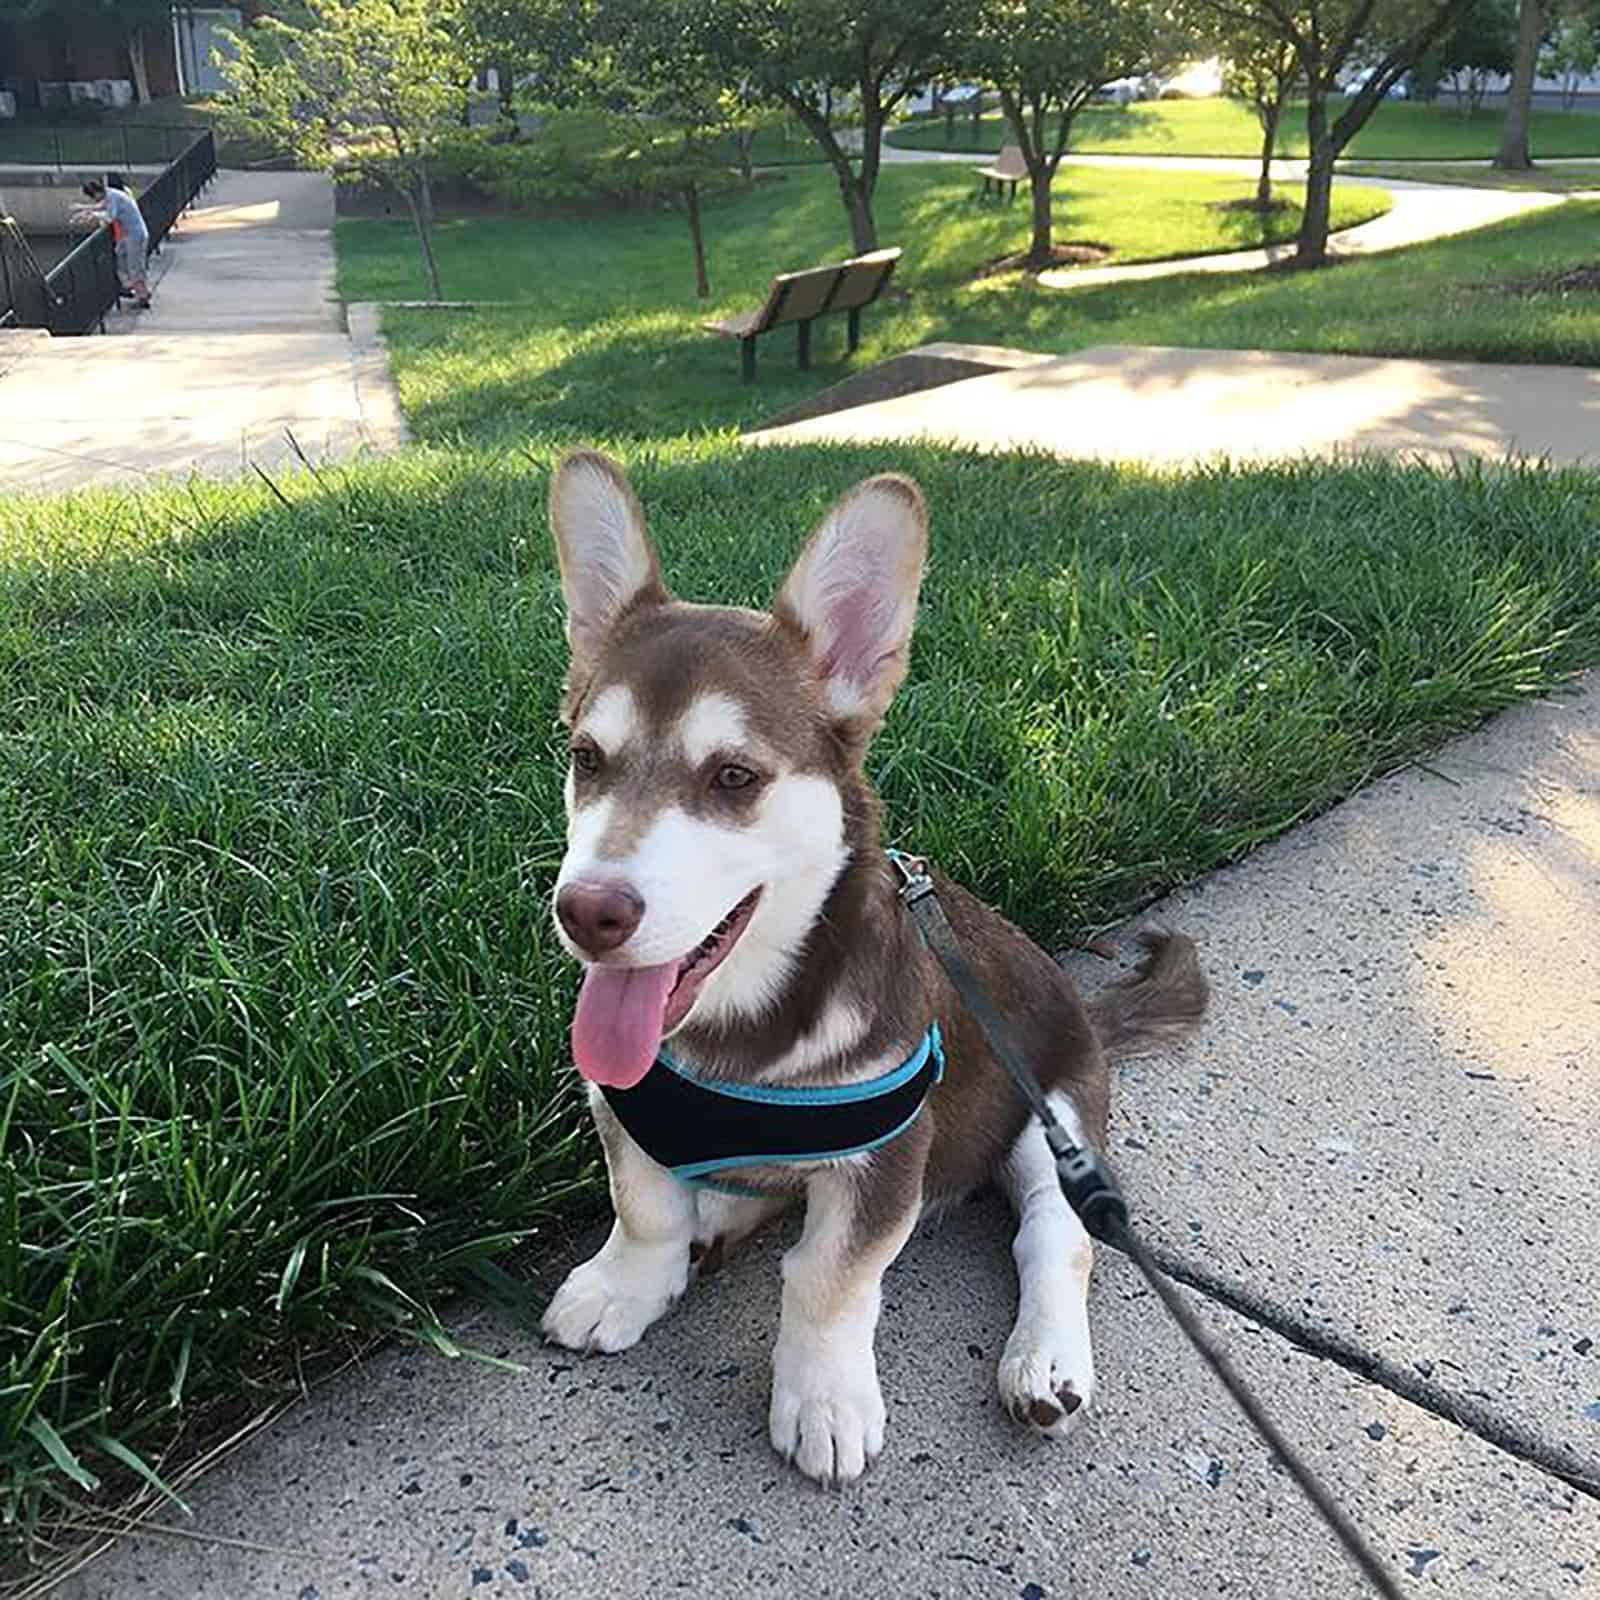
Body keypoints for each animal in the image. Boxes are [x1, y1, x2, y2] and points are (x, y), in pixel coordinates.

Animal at [544, 444, 1203, 1478]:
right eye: (587, 759)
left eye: (733, 777)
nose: (588, 913)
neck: (741, 1030)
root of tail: (1087, 1011)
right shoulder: (627, 1108)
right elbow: (644, 1208)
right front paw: (628, 1284)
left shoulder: (887, 1159)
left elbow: (828, 1278)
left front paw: (823, 1398)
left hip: (1050, 1114)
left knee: (1056, 1238)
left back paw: (1046, 1360)